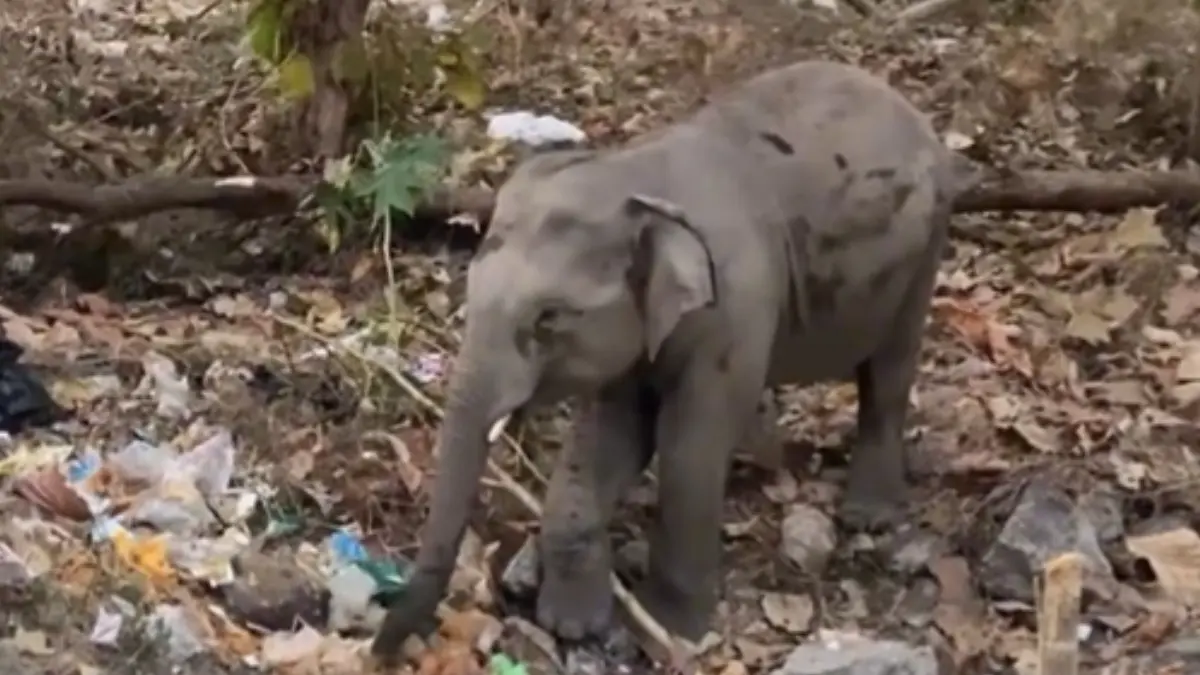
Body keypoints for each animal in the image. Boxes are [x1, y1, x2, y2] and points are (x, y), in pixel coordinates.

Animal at [370, 59, 976, 661]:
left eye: (549, 318)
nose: (380, 649)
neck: (634, 179)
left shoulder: (733, 308)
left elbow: (689, 447)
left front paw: (667, 631)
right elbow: (608, 436)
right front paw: (574, 625)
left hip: (926, 248)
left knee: (890, 369)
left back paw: (868, 514)